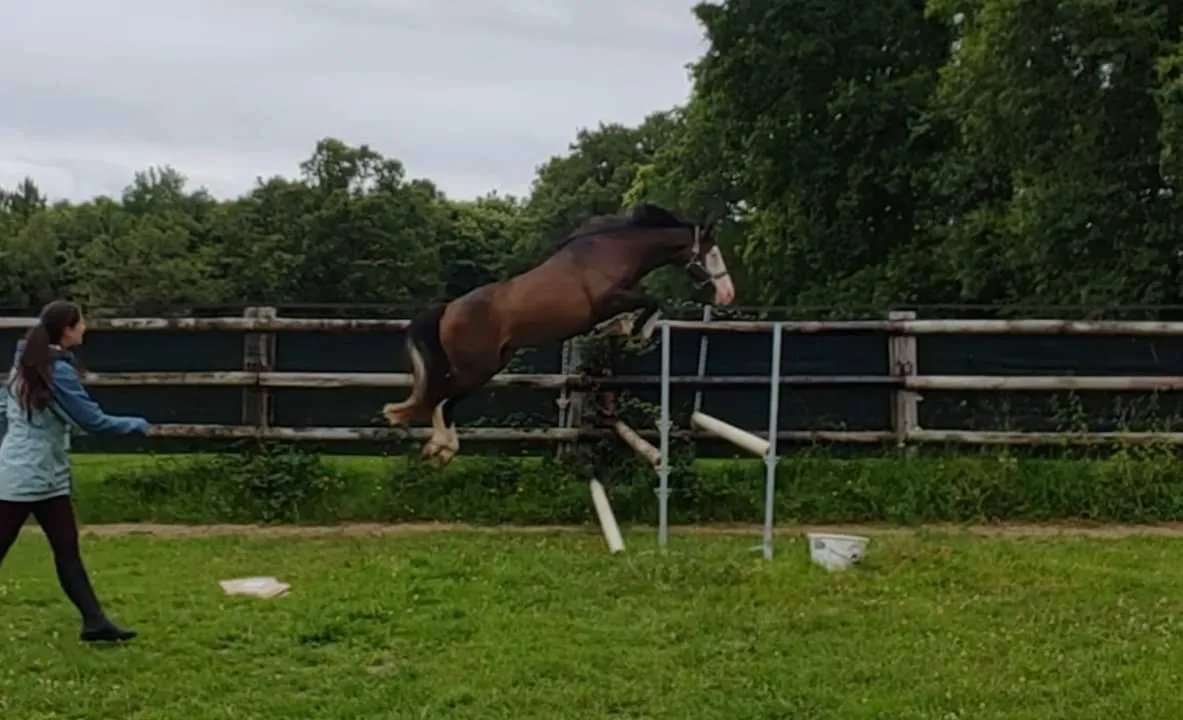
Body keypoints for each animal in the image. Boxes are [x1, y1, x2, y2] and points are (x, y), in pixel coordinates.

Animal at [381, 202, 736, 466]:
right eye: (713, 254)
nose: (727, 294)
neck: (613, 251)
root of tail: (448, 309)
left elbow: (645, 308)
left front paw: (623, 328)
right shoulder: (609, 299)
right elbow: (652, 302)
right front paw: (634, 331)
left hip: (487, 367)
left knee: (443, 399)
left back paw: (442, 449)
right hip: (476, 369)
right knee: (440, 398)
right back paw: (441, 447)